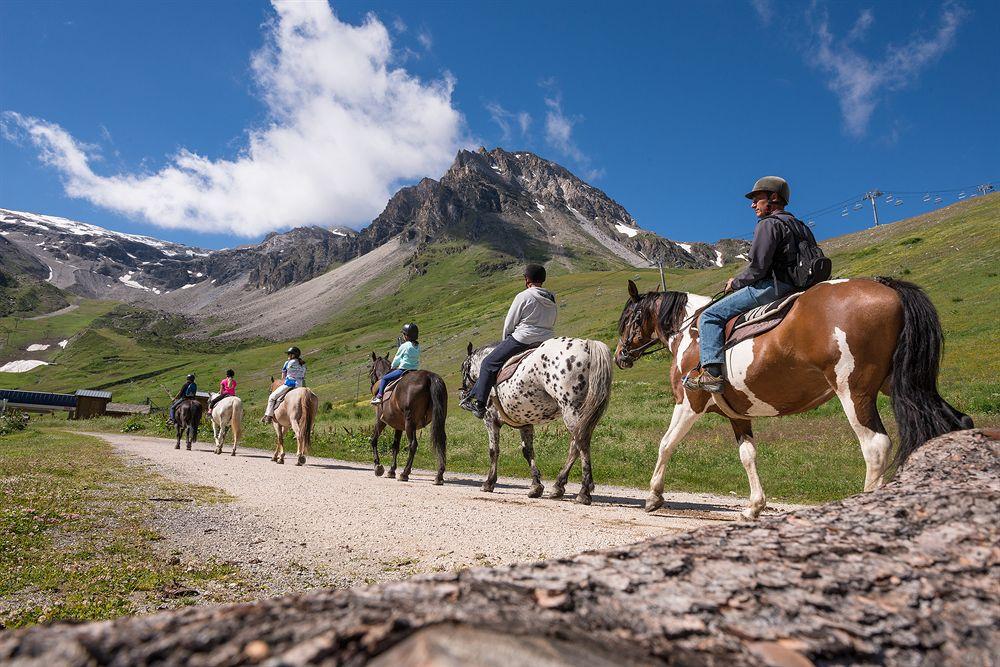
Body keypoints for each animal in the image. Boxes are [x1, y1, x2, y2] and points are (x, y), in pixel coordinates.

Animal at [366, 354, 448, 486]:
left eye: (370, 371)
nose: (371, 386)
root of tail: (429, 377)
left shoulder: (380, 420)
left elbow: (374, 440)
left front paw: (378, 466)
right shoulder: (399, 426)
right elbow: (395, 446)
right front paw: (391, 470)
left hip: (409, 422)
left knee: (413, 444)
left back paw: (405, 473)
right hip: (437, 419)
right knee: (441, 441)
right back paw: (439, 475)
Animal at [462, 336, 616, 504]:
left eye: (463, 368)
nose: (463, 393)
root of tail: (587, 345)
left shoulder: (490, 420)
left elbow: (493, 451)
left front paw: (489, 483)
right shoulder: (525, 424)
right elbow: (528, 451)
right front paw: (536, 486)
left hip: (571, 409)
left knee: (581, 443)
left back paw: (584, 492)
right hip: (584, 413)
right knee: (576, 445)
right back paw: (558, 486)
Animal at [612, 276, 972, 520]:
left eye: (628, 319)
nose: (620, 356)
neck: (691, 332)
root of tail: (888, 287)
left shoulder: (689, 402)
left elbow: (666, 443)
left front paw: (653, 497)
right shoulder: (739, 414)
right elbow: (748, 456)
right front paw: (754, 507)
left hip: (854, 392)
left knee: (875, 446)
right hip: (905, 386)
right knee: (956, 422)